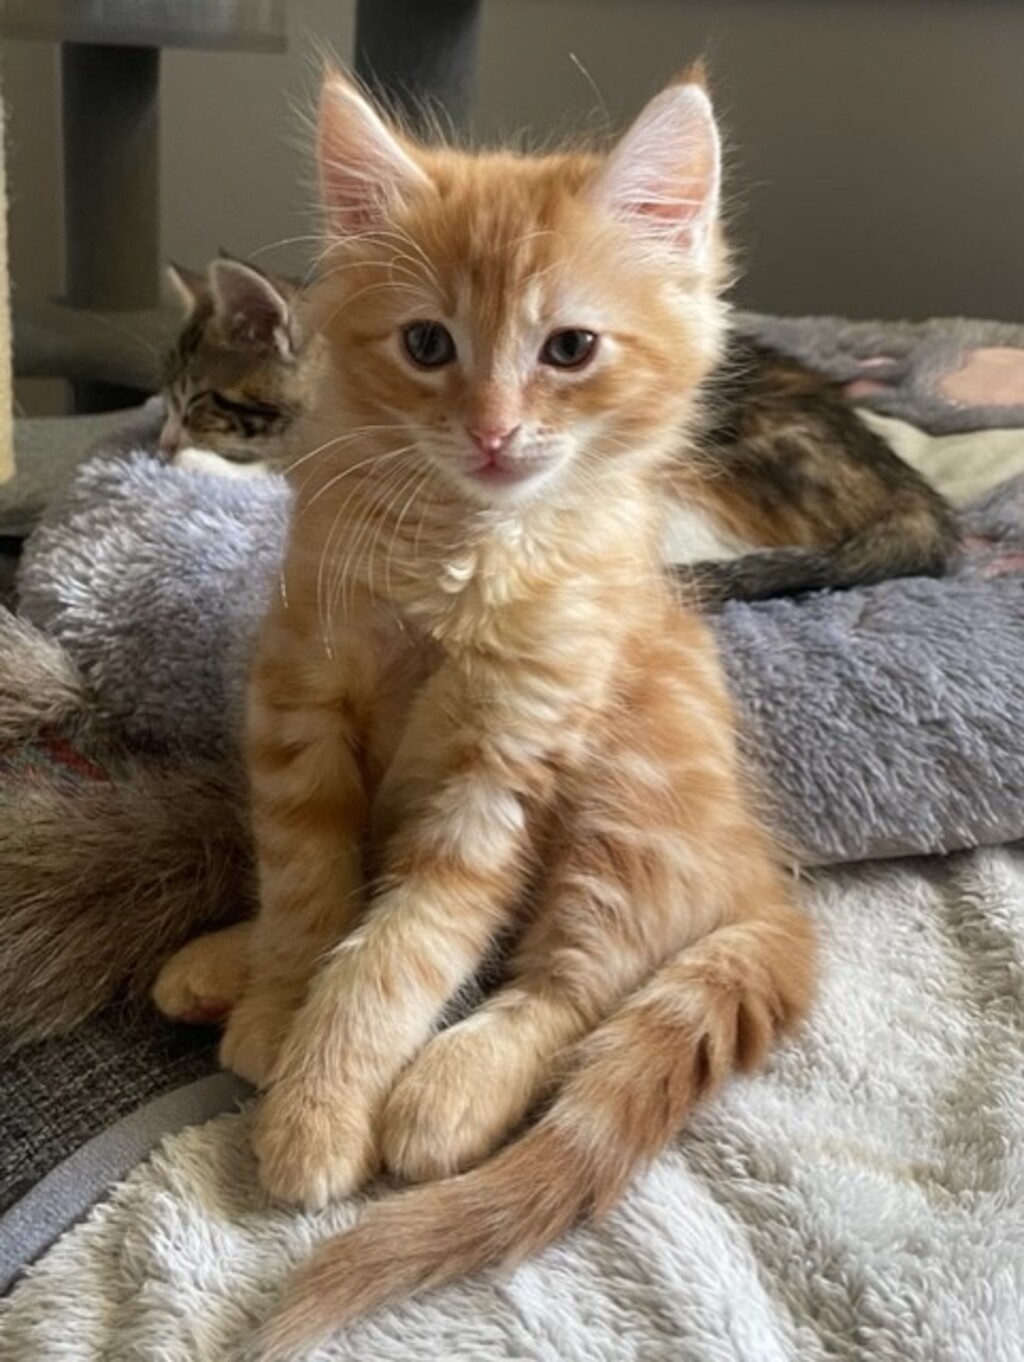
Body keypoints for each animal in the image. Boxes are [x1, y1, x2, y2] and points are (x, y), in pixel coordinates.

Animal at [153, 66, 815, 1358]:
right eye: (427, 344)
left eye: (570, 348)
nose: (495, 431)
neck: (456, 554)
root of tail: (760, 867)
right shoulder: (299, 706)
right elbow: (312, 890)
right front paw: (278, 1006)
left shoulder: (502, 771)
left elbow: (397, 954)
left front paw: (317, 1113)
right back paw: (220, 964)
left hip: (619, 808)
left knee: (573, 984)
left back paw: (445, 1093)